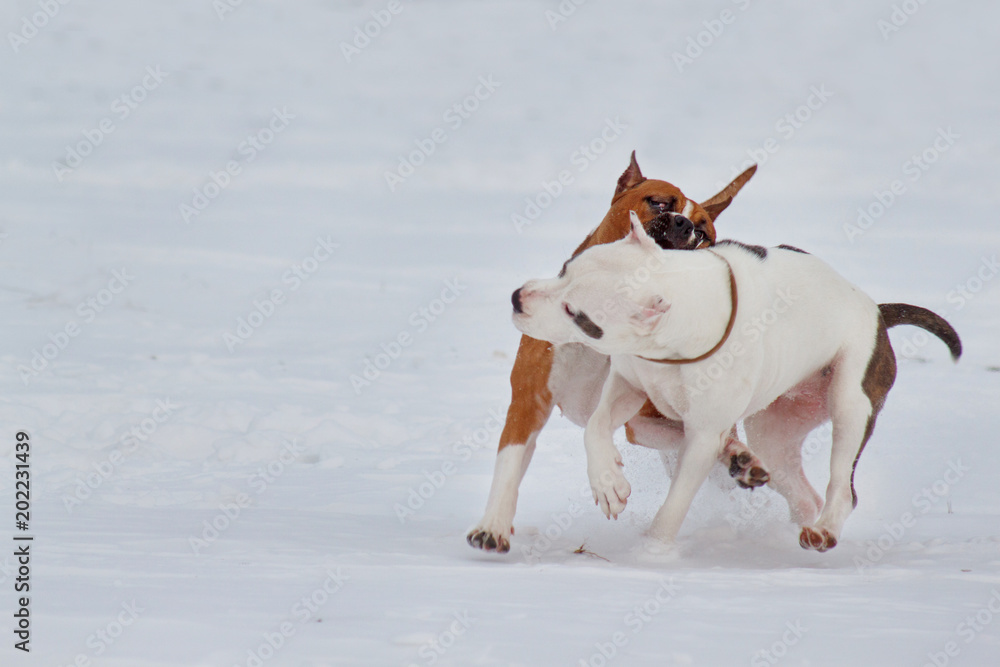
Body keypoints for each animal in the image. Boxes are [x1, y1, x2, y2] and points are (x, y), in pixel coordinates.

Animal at [468, 153, 756, 552]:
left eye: (704, 234)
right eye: (658, 202)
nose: (683, 225)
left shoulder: (646, 413)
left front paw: (606, 481)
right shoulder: (530, 398)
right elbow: (511, 459)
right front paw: (492, 525)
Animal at [512, 215, 956, 552]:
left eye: (576, 314)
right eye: (565, 268)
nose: (517, 297)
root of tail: (876, 310)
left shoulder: (703, 435)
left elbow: (675, 503)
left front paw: (652, 552)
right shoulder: (628, 383)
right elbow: (596, 426)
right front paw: (609, 483)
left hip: (850, 397)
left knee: (842, 486)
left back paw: (825, 529)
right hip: (773, 433)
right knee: (799, 489)